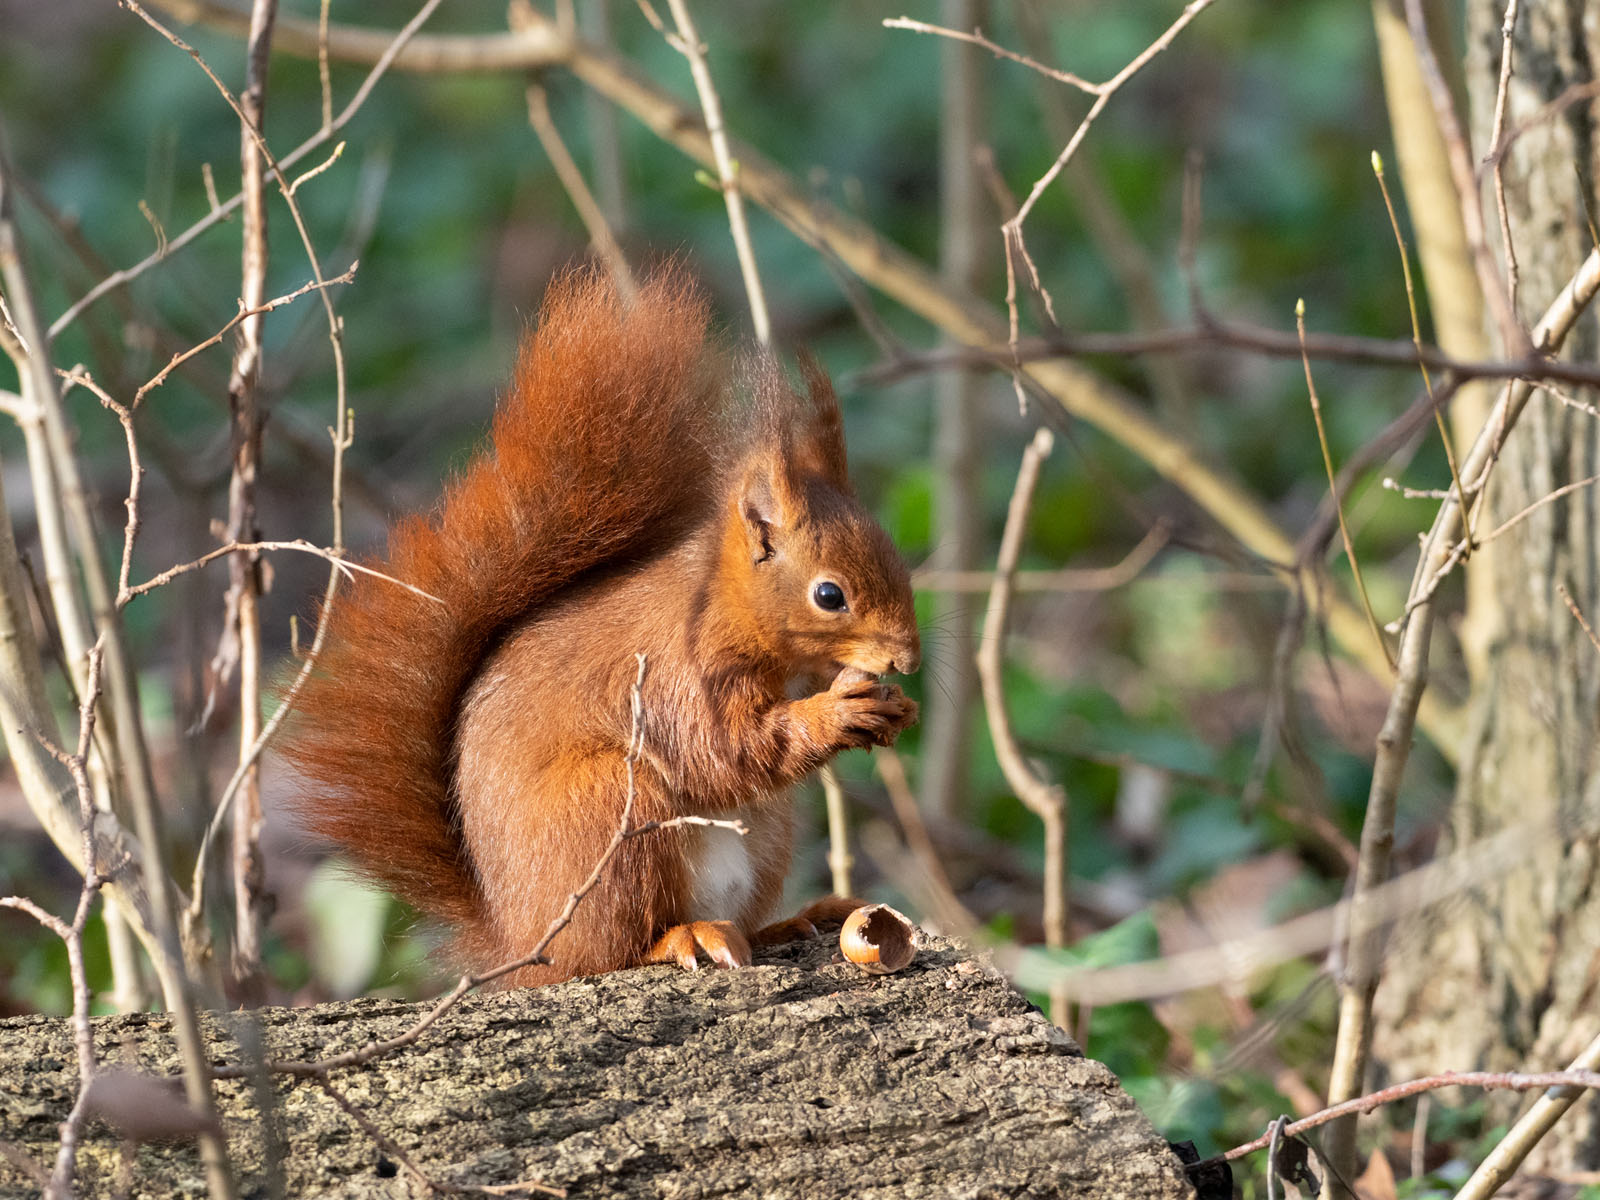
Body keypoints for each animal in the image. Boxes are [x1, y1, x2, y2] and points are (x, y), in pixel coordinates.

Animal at [281, 270, 921, 985]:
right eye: (829, 595)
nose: (907, 658)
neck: (724, 607)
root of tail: (518, 942)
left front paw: (895, 708)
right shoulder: (676, 673)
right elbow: (726, 749)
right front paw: (836, 713)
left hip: (765, 835)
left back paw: (792, 921)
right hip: (607, 815)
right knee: (609, 952)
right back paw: (681, 938)